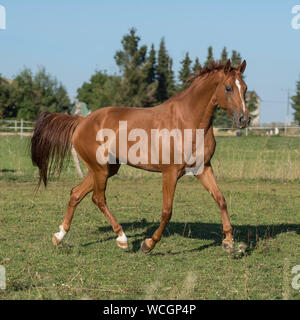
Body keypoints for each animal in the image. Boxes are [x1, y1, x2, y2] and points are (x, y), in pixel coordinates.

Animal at [31, 60, 251, 254]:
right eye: (229, 88)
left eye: (245, 88)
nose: (244, 119)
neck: (188, 122)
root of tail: (82, 121)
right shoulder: (170, 173)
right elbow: (167, 211)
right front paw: (148, 244)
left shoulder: (203, 168)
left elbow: (221, 199)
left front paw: (229, 243)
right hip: (100, 169)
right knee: (98, 198)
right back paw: (122, 239)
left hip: (106, 169)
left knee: (76, 193)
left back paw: (59, 236)